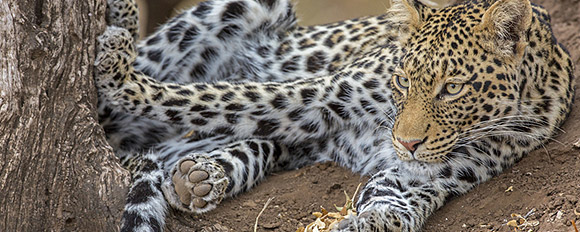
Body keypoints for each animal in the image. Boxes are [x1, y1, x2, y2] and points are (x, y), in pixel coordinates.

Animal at [93, 0, 572, 231]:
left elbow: (397, 203)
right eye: (403, 80)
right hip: (251, 7)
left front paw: (368, 222)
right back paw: (117, 31)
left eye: (453, 88)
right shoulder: (322, 93)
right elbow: (218, 98)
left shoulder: (433, 173)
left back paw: (199, 177)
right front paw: (118, 77)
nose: (404, 143)